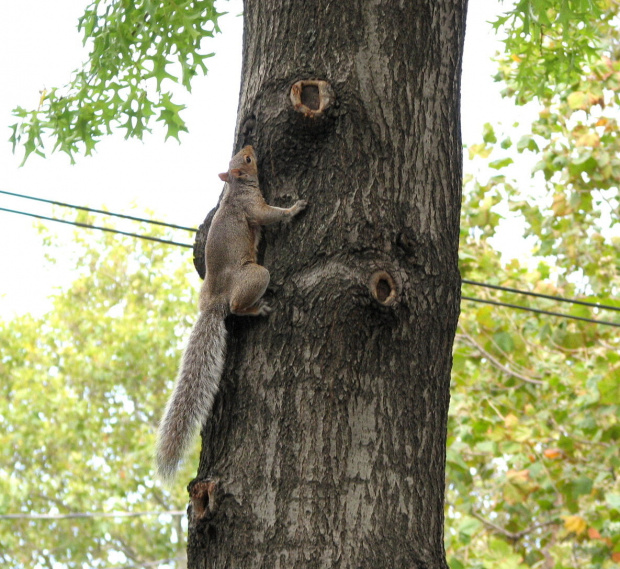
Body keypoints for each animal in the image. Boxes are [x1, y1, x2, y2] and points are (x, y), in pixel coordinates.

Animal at [156, 145, 306, 480]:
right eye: (247, 161)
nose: (250, 147)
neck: (237, 189)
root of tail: (213, 304)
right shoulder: (253, 208)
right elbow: (269, 215)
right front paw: (295, 208)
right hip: (255, 276)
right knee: (237, 307)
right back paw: (257, 308)